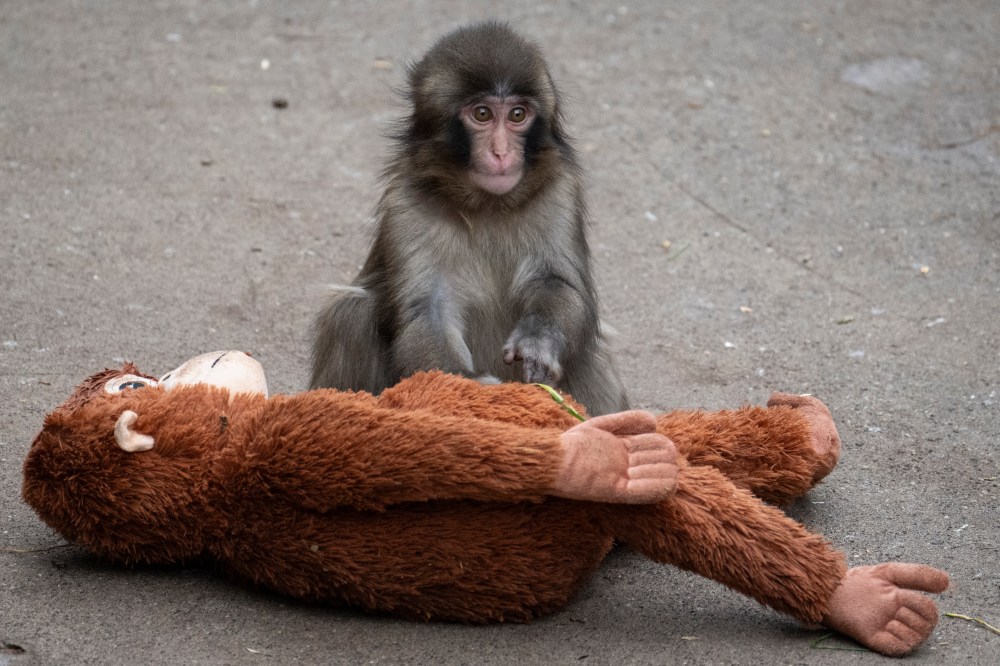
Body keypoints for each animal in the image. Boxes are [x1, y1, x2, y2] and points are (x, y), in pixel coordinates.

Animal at [310, 21, 628, 416]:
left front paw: (539, 339)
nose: (501, 152)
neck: (487, 205)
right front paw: (467, 387)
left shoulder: (559, 193)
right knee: (350, 313)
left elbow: (558, 283)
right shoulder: (406, 203)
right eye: (482, 114)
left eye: (517, 115)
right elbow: (430, 309)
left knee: (588, 352)